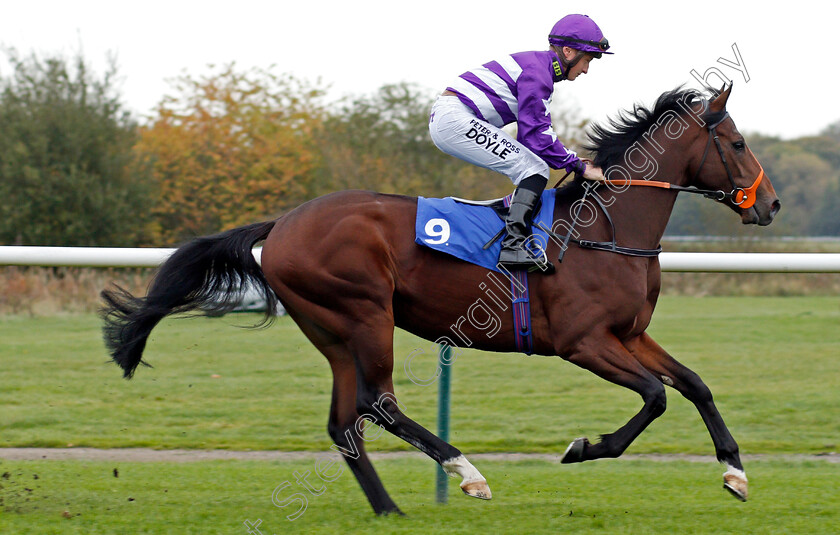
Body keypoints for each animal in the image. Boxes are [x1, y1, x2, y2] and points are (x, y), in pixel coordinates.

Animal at [100, 86, 780, 516]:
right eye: (737, 143)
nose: (769, 204)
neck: (606, 232)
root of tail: (285, 223)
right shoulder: (583, 343)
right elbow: (654, 396)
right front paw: (583, 448)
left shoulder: (631, 334)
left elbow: (693, 384)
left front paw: (736, 472)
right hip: (365, 315)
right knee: (378, 403)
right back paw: (466, 473)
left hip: (332, 332)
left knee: (344, 421)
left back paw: (390, 509)